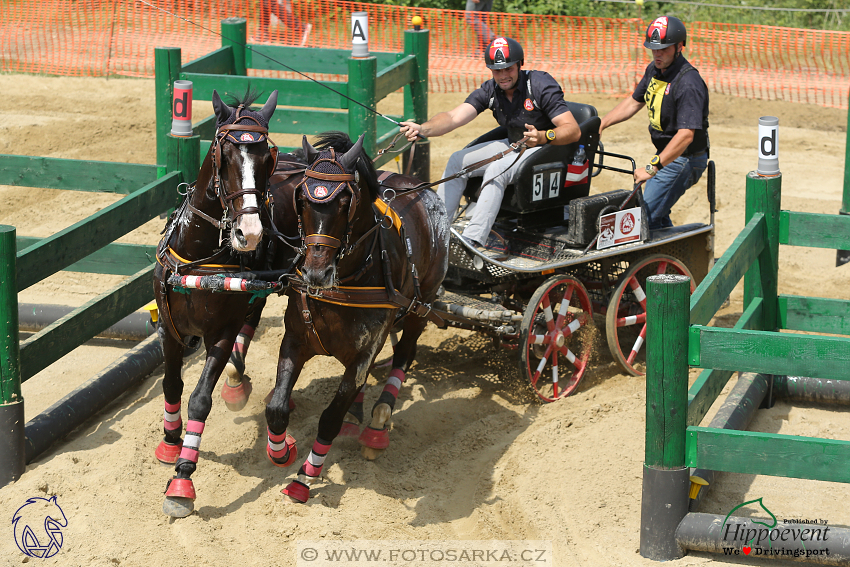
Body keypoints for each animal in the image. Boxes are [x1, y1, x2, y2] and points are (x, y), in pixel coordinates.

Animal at [152, 89, 284, 520]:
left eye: (267, 158)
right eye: (223, 154)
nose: (250, 233)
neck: (199, 259)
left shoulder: (221, 333)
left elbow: (198, 399)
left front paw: (182, 480)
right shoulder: (169, 330)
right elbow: (171, 384)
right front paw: (170, 440)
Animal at [264, 132, 450, 502]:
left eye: (344, 202)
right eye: (301, 199)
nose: (315, 273)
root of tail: (420, 187)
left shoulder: (364, 355)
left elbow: (329, 418)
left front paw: (304, 477)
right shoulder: (294, 340)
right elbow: (277, 407)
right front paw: (281, 452)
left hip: (421, 305)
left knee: (405, 354)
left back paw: (378, 421)